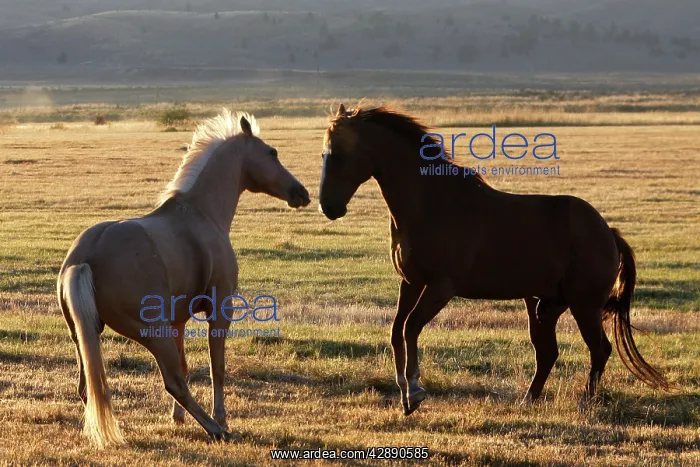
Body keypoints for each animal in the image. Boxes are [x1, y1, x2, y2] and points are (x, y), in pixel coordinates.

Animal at [57, 110, 310, 446]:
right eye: (272, 152)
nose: (302, 193)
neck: (199, 213)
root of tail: (84, 257)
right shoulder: (220, 310)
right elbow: (217, 367)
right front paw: (221, 417)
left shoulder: (178, 321)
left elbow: (187, 366)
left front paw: (176, 418)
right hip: (154, 334)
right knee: (172, 381)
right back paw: (215, 428)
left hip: (84, 336)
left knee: (89, 389)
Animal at [318, 103, 670, 416]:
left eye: (337, 155)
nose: (328, 206)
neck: (432, 203)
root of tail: (608, 231)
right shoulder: (411, 283)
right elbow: (397, 332)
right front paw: (405, 392)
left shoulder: (440, 287)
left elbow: (411, 327)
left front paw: (415, 391)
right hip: (543, 305)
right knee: (548, 353)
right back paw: (528, 400)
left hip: (585, 305)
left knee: (599, 349)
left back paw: (587, 400)